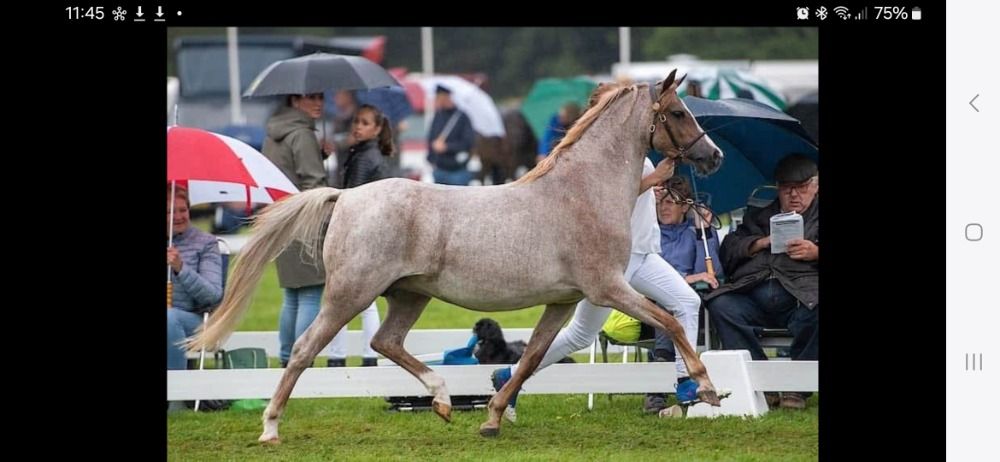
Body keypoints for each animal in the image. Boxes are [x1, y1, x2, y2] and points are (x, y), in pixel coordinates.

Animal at [186, 70, 724, 442]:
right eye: (679, 112)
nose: (713, 156)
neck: (582, 193)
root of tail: (347, 197)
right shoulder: (609, 287)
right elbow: (670, 322)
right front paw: (707, 388)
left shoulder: (563, 301)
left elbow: (530, 358)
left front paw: (492, 417)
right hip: (349, 294)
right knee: (303, 349)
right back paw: (270, 428)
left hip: (408, 296)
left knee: (385, 342)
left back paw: (444, 399)